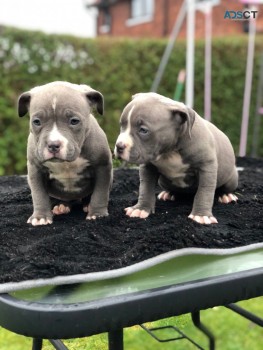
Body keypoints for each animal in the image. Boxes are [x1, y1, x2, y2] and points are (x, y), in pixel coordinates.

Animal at [18, 80, 113, 226]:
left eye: (74, 121)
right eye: (36, 122)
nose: (53, 145)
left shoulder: (102, 166)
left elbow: (100, 192)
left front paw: (97, 214)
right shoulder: (35, 169)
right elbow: (39, 195)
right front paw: (40, 217)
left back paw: (87, 204)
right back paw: (60, 206)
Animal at [115, 93, 239, 224]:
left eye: (143, 130)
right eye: (121, 125)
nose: (119, 146)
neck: (169, 151)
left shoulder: (207, 167)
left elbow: (204, 191)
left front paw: (201, 215)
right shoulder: (148, 166)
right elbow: (145, 187)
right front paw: (140, 209)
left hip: (231, 178)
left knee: (225, 187)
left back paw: (226, 195)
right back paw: (168, 193)